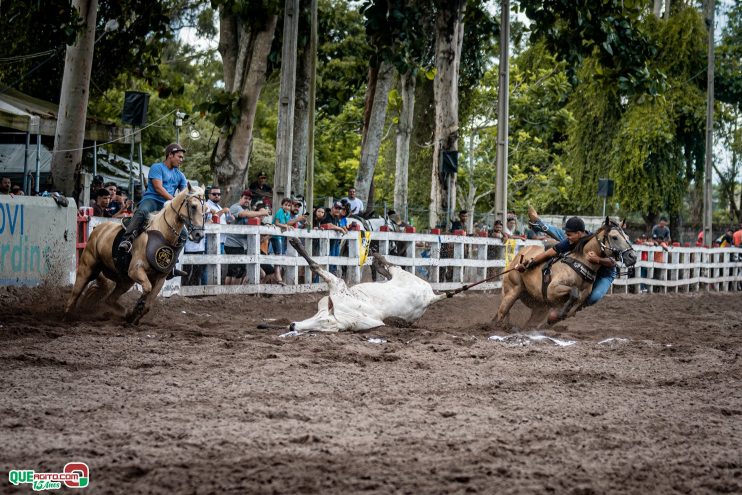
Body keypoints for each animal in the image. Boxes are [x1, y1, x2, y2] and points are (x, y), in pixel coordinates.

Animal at [66, 184, 208, 324]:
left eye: (206, 209)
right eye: (193, 206)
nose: (199, 234)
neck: (162, 233)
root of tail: (99, 229)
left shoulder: (161, 278)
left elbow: (148, 303)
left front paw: (134, 314)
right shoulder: (135, 270)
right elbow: (147, 288)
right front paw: (136, 309)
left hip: (123, 280)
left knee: (109, 299)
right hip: (87, 268)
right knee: (75, 293)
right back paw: (68, 316)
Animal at [288, 237, 444, 334]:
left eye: (321, 326)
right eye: (319, 319)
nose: (292, 326)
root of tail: (431, 297)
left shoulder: (337, 284)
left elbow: (315, 266)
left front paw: (296, 244)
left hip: (403, 275)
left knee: (392, 266)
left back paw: (377, 259)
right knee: (390, 270)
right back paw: (376, 259)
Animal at [496, 219, 636, 328]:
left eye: (628, 238)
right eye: (614, 237)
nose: (632, 256)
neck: (580, 264)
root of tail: (520, 255)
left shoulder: (580, 300)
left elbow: (573, 305)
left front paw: (555, 317)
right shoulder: (552, 289)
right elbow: (573, 292)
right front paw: (558, 314)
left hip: (539, 306)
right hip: (512, 291)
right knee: (501, 314)